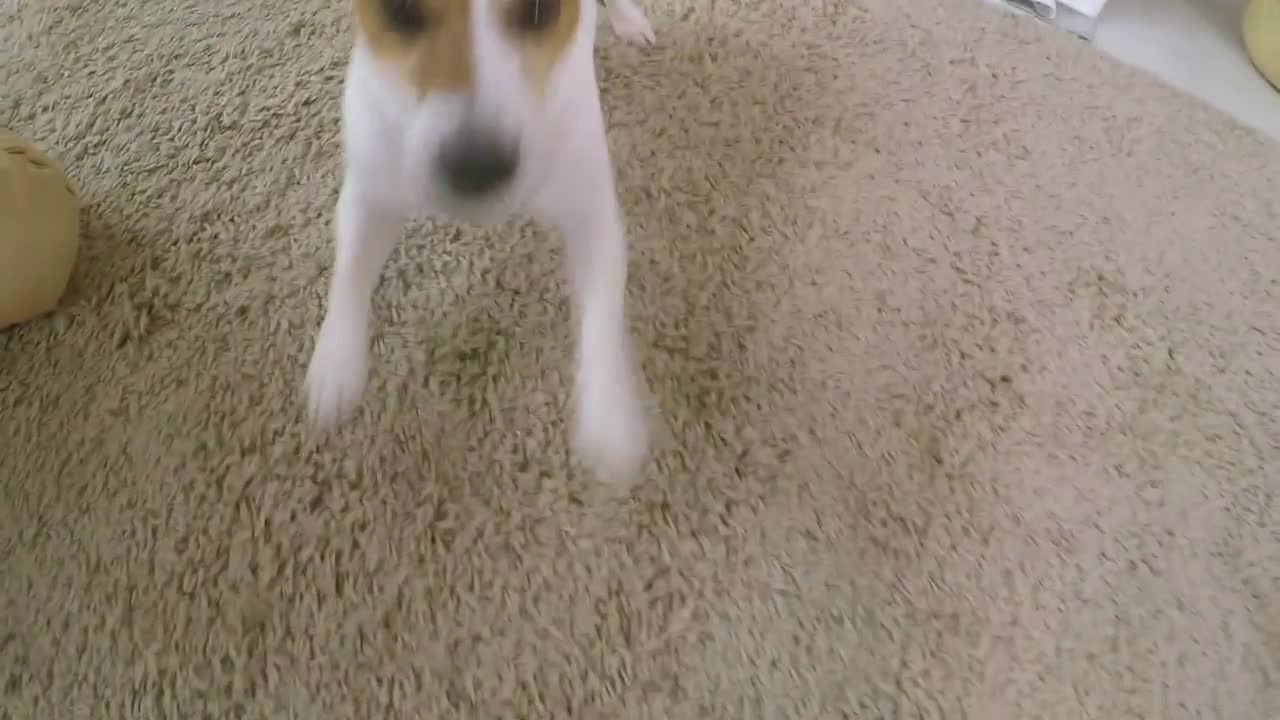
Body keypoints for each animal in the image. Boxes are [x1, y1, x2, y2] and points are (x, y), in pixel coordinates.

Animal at [304, 0, 655, 481]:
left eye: (541, 10)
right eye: (400, 10)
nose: (477, 167)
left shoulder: (591, 215)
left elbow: (601, 316)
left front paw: (609, 418)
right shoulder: (371, 194)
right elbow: (351, 273)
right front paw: (334, 366)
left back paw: (629, 20)